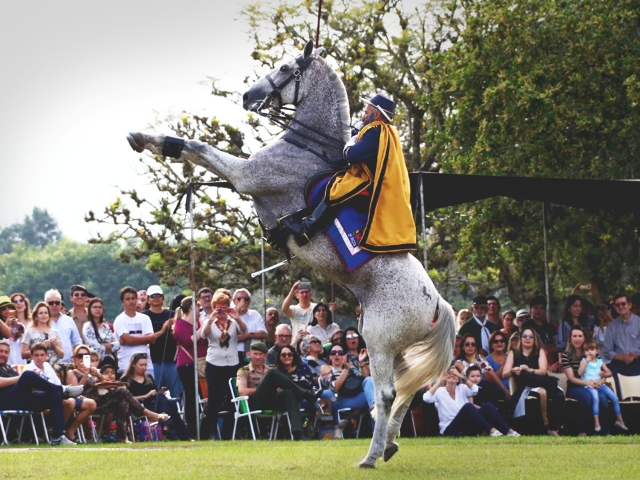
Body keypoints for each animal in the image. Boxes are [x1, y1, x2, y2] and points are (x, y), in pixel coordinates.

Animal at [127, 40, 455, 468]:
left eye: (284, 68)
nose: (248, 96)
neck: (308, 148)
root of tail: (436, 304)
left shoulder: (246, 177)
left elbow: (198, 148)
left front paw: (144, 138)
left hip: (379, 340)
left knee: (386, 395)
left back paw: (371, 454)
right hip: (396, 347)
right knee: (406, 390)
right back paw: (390, 444)